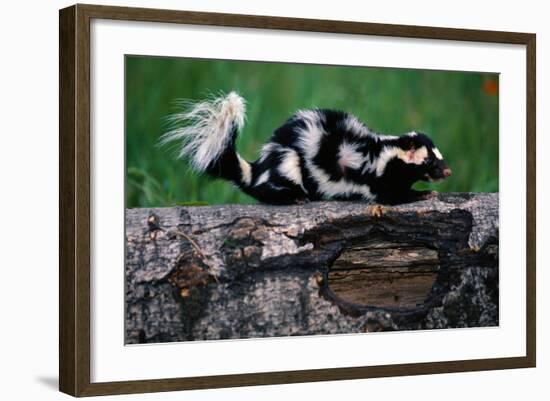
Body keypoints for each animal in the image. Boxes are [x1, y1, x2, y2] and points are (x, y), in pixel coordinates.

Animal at [162, 92, 454, 205]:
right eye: (430, 161)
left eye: (440, 157)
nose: (448, 171)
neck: (384, 151)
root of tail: (257, 169)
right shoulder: (377, 177)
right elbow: (391, 195)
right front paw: (423, 194)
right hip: (289, 160)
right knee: (271, 188)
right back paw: (295, 197)